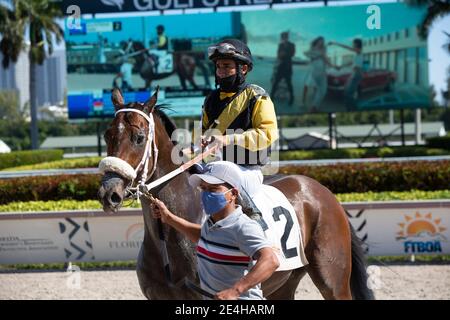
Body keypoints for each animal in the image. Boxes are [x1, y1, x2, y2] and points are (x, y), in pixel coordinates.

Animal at [97, 88, 372, 300]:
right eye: (108, 135)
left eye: (139, 137)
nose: (109, 192)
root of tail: (323, 192)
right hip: (284, 283)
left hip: (333, 280)